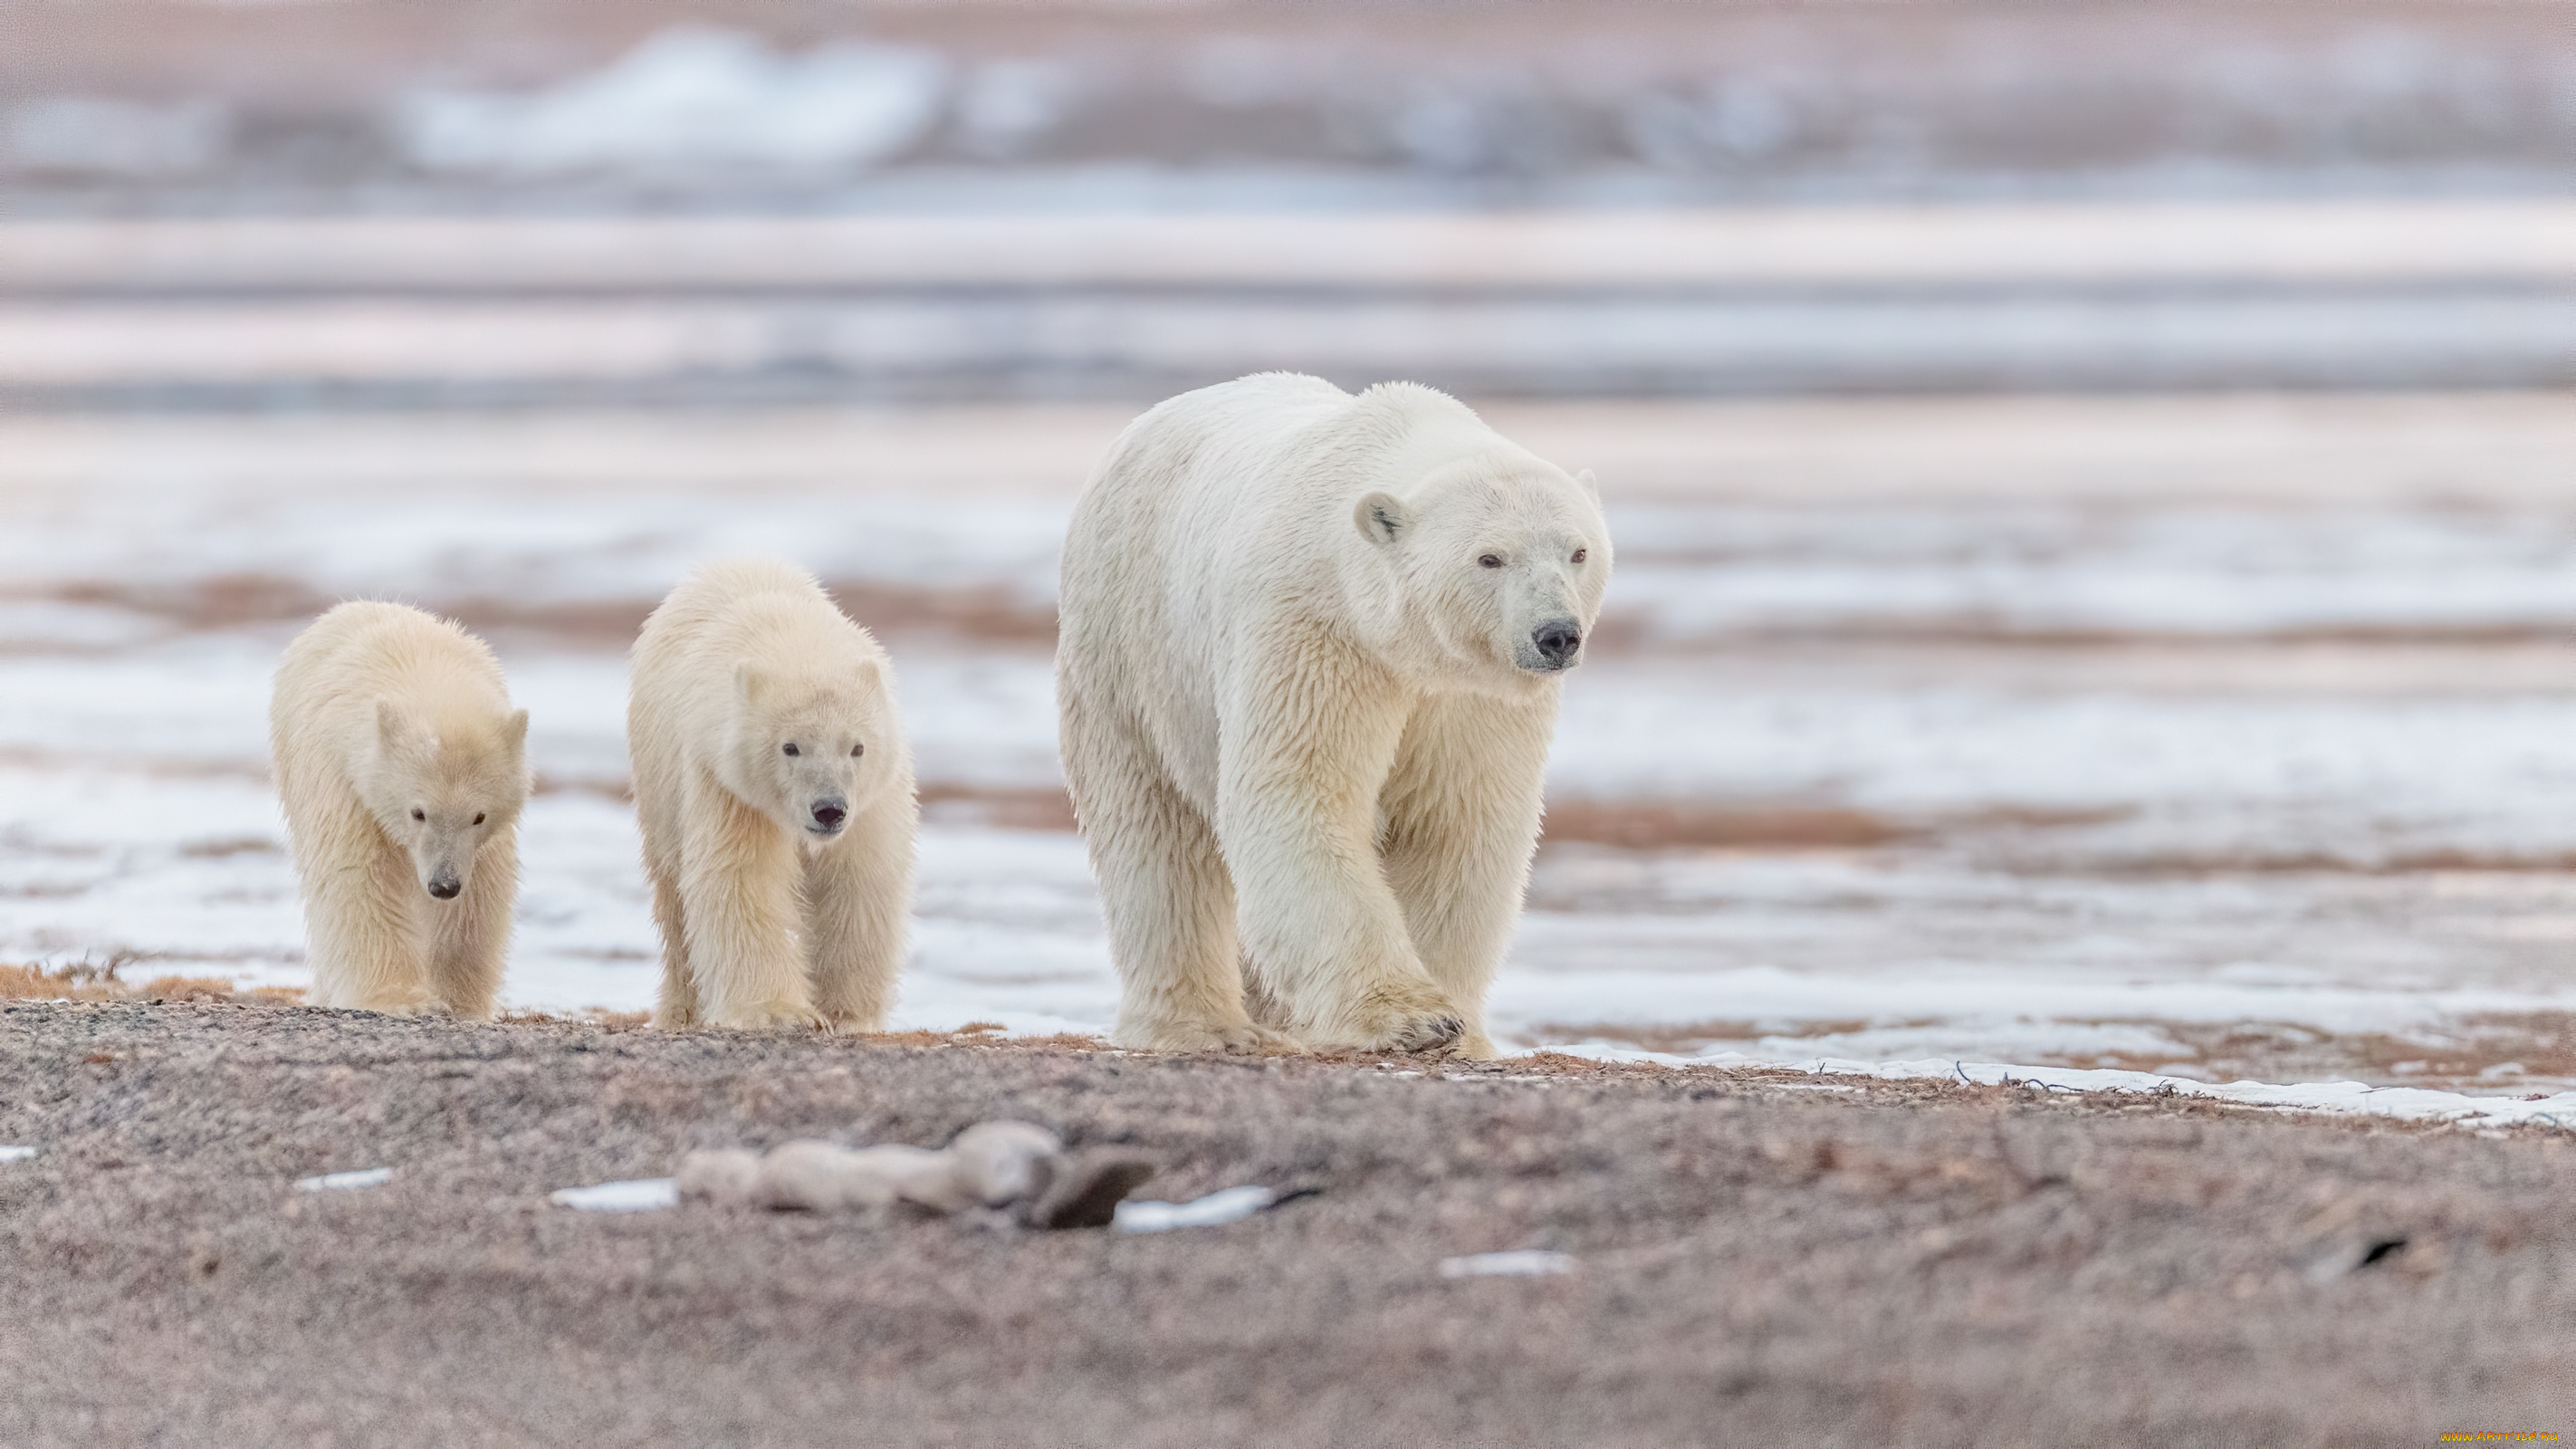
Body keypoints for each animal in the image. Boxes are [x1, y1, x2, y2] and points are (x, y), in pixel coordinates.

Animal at [272, 598, 528, 1015]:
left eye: (479, 816)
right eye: (418, 812)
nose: (443, 885)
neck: (421, 671)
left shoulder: (485, 842)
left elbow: (480, 895)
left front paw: (459, 1000)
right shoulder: (343, 777)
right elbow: (357, 875)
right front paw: (400, 999)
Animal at [628, 554, 922, 1026]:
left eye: (857, 747)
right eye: (790, 747)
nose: (829, 809)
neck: (793, 638)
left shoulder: (874, 800)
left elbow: (858, 880)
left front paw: (847, 1012)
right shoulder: (725, 783)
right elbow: (742, 878)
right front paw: (779, 1012)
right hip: (658, 783)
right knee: (673, 896)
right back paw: (681, 1010)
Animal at [1056, 370, 1596, 1046]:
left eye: (1578, 551)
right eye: (1490, 557)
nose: (1556, 635)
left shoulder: (1471, 696)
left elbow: (1457, 825)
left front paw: (1460, 1027)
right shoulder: (1315, 632)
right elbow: (1300, 790)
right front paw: (1411, 1017)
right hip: (1129, 645)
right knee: (1154, 834)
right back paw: (1201, 1025)